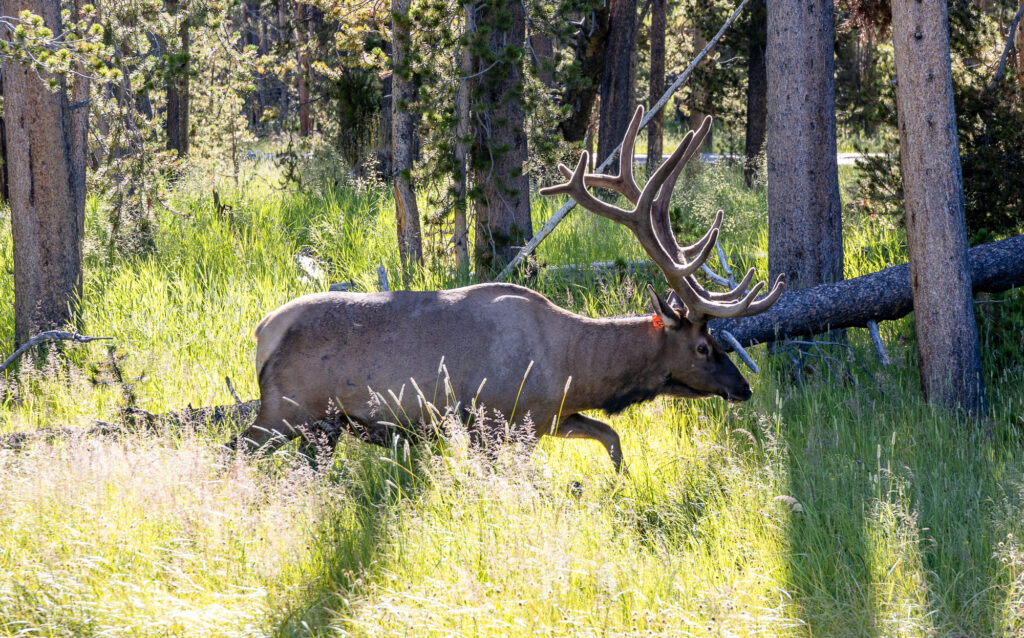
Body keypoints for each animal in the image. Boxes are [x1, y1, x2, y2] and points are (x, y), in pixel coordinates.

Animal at [226, 108, 782, 469]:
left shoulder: (551, 416)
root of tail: (261, 331)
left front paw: (619, 481)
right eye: (704, 346)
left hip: (319, 428)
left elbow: (612, 437)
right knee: (230, 453)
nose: (743, 388)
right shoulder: (498, 420)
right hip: (283, 410)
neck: (574, 366)